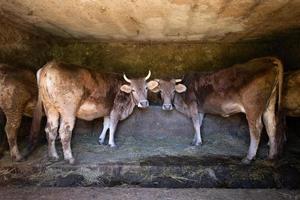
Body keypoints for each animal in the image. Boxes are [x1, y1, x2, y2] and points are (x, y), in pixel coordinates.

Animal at [30, 61, 158, 164]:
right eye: (133, 90)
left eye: (146, 88)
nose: (144, 103)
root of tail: (49, 65)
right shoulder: (116, 110)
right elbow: (113, 127)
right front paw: (112, 143)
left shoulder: (108, 111)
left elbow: (106, 125)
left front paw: (101, 140)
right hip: (68, 110)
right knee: (64, 131)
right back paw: (70, 158)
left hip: (50, 107)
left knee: (50, 129)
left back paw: (53, 156)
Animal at [150, 56, 286, 164]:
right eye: (161, 91)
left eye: (173, 91)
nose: (167, 106)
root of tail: (268, 59)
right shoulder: (200, 109)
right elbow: (199, 124)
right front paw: (195, 140)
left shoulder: (193, 105)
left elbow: (195, 123)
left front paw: (197, 143)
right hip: (269, 105)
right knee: (271, 126)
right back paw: (271, 156)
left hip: (253, 107)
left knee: (256, 129)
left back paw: (249, 157)